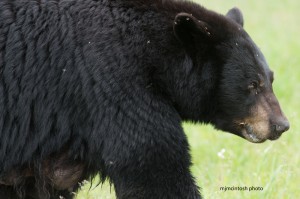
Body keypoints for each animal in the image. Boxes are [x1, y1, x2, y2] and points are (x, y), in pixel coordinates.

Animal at [0, 0, 290, 198]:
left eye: (271, 79)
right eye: (252, 85)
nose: (281, 124)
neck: (154, 53)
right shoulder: (114, 84)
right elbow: (153, 163)